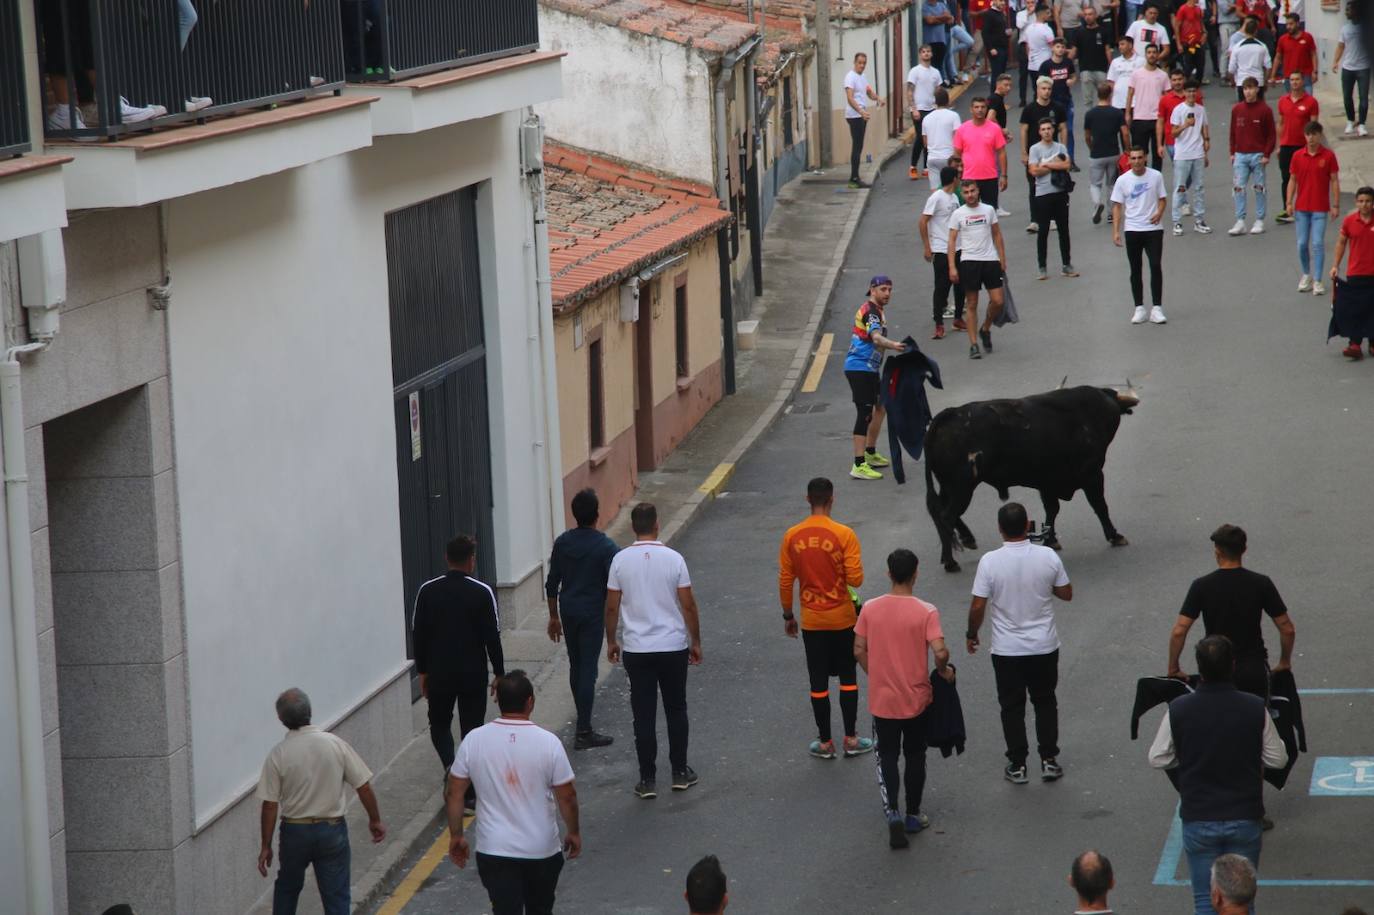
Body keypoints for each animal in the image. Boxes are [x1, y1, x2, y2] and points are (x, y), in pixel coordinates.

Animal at [923, 381, 1137, 566]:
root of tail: (951, 412)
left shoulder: (1048, 482)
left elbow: (1052, 510)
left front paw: (1050, 540)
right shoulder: (1092, 475)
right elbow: (1100, 505)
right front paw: (1115, 536)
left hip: (948, 486)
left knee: (940, 512)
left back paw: (963, 542)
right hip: (962, 486)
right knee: (947, 516)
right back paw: (951, 561)